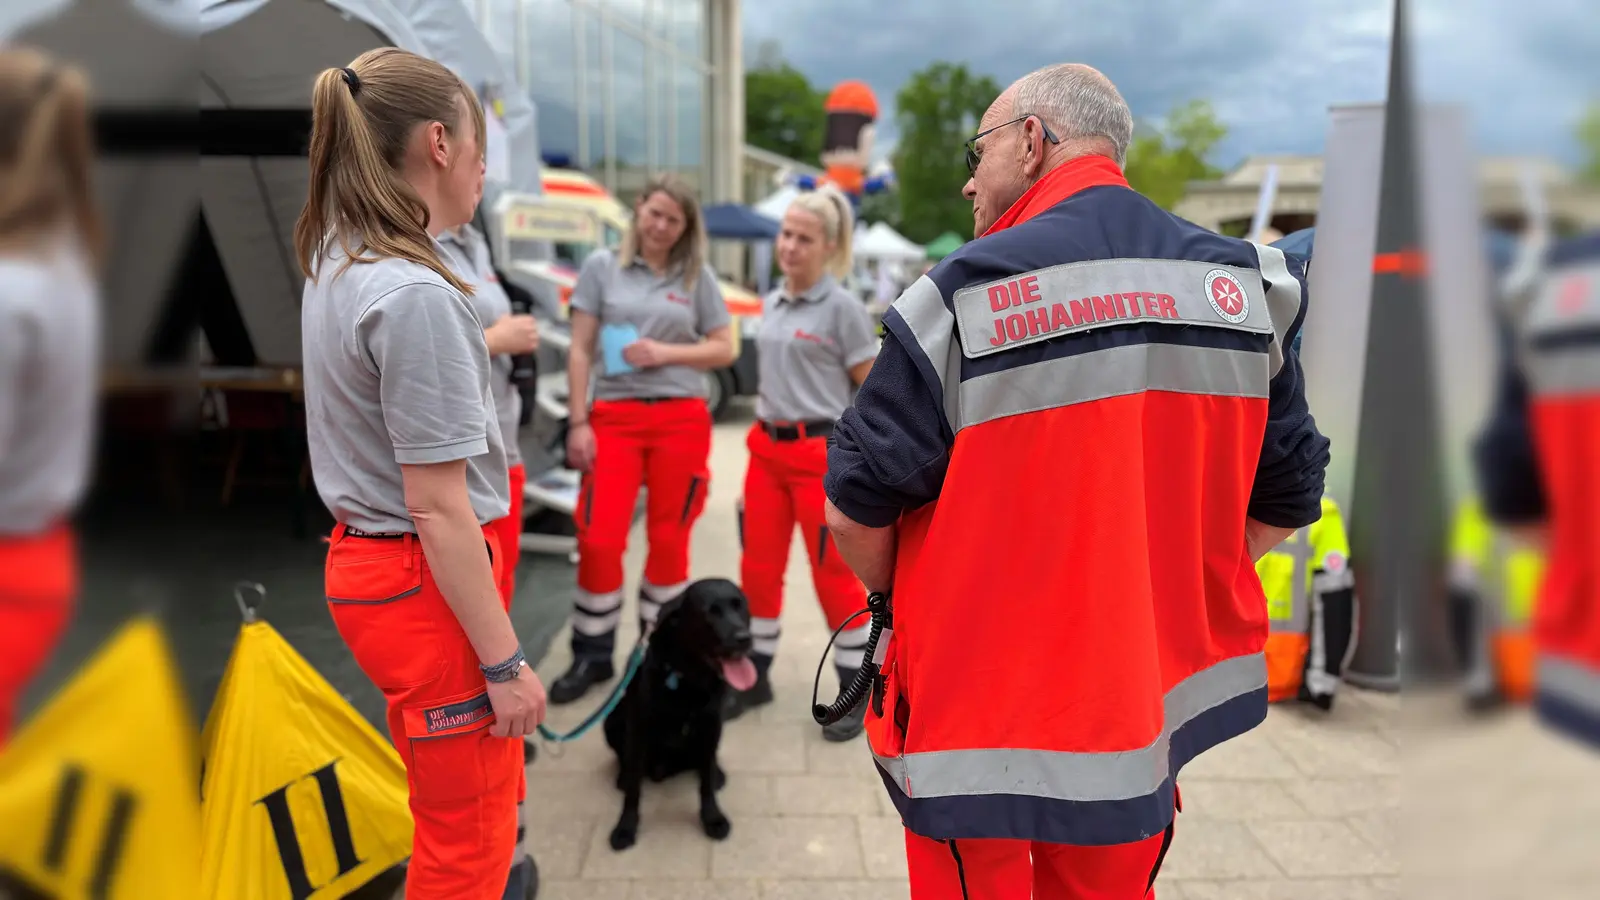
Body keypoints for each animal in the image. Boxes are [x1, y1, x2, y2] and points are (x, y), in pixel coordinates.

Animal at [601, 573, 755, 845]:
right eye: (710, 613)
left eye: (740, 606)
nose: (743, 638)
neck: (688, 678)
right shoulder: (638, 729)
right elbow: (633, 790)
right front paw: (626, 827)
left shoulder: (711, 723)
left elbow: (705, 783)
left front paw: (712, 818)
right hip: (611, 722)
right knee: (625, 760)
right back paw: (622, 776)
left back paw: (717, 773)